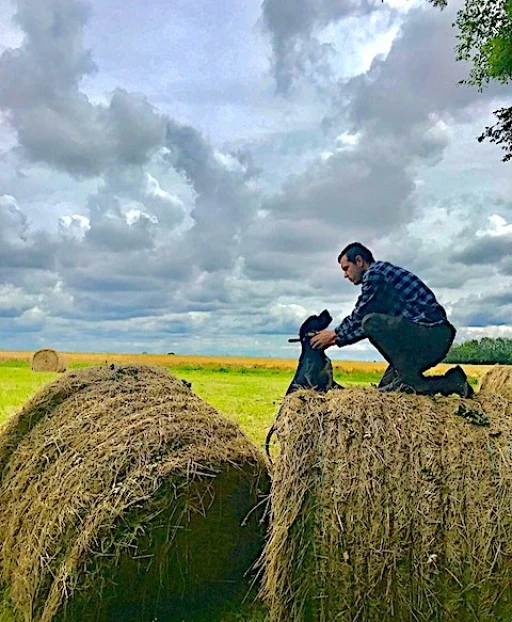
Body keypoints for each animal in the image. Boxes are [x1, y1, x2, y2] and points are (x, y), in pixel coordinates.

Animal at [264, 312, 344, 464]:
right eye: (316, 318)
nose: (327, 311)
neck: (315, 352)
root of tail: (276, 424)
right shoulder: (315, 382)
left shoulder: (331, 381)